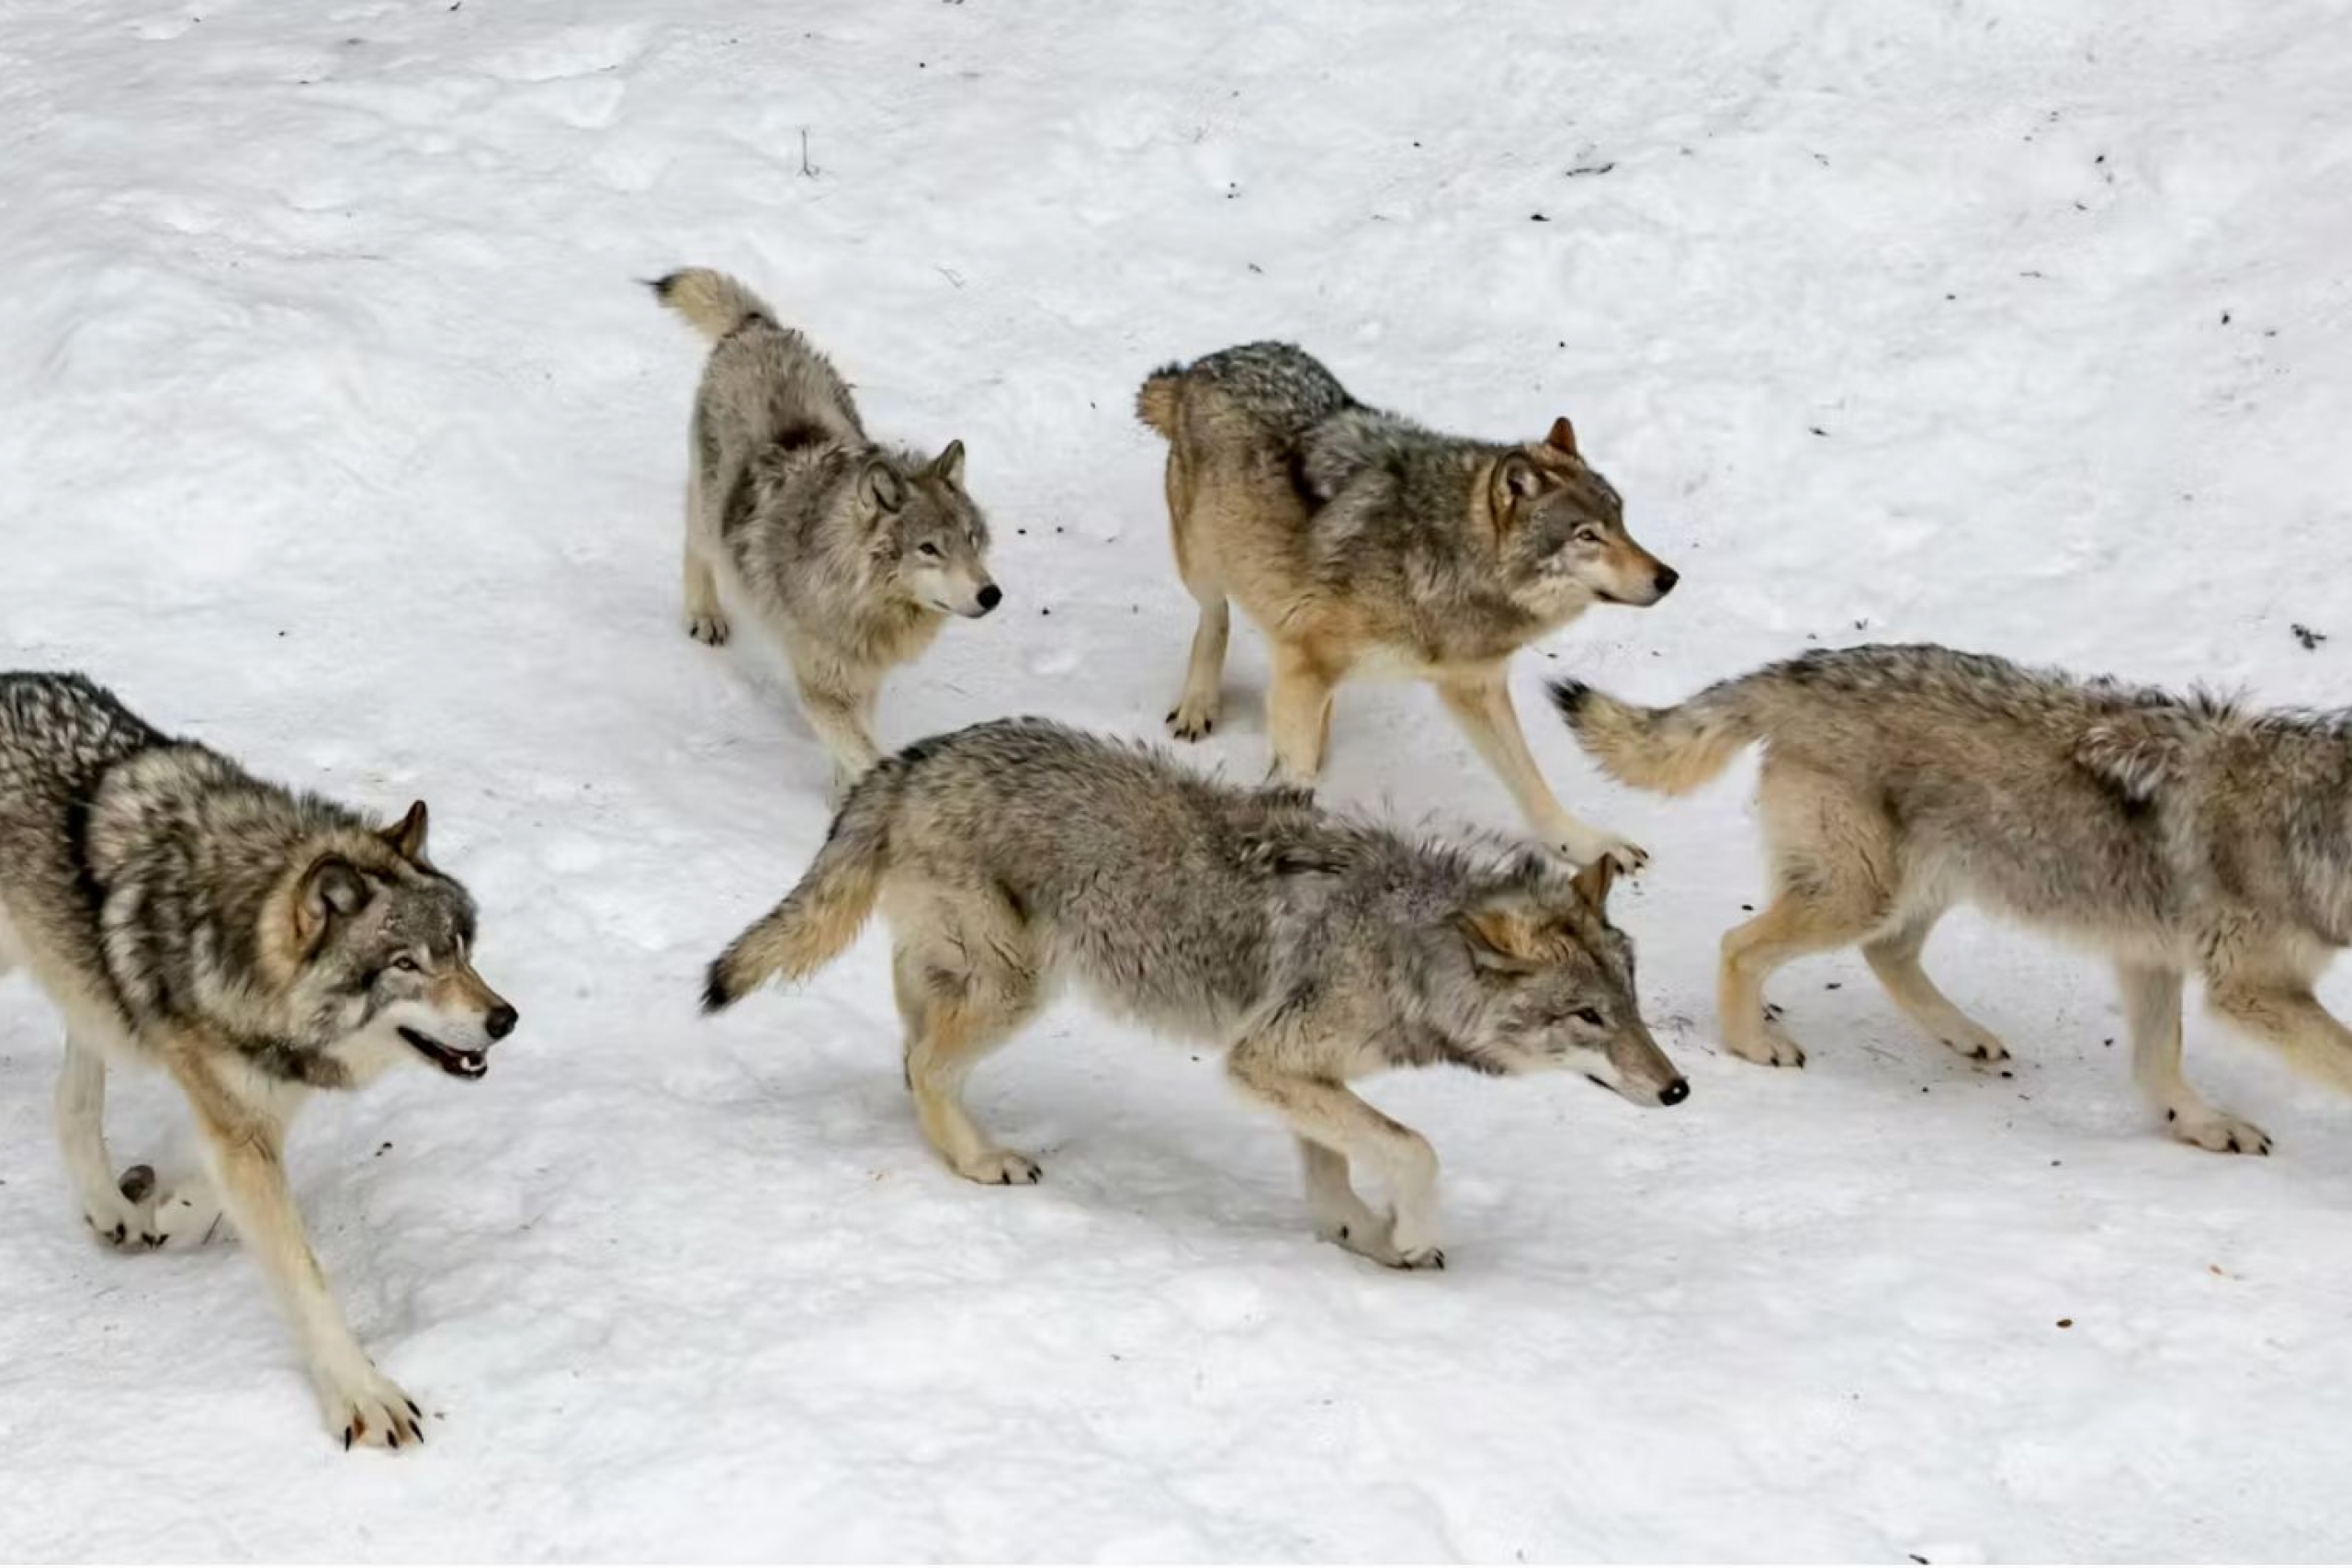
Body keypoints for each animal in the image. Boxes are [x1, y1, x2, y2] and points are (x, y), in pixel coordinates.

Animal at [0, 673, 517, 1449]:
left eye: (460, 948)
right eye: (405, 964)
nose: (504, 1019)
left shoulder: (256, 1098)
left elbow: (215, 1186)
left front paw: (172, 1212)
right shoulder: (238, 1114)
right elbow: (306, 1276)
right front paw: (362, 1395)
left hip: (79, 980)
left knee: (76, 1090)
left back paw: (109, 1205)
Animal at [653, 267, 1000, 795]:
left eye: (972, 540)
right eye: (929, 549)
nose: (991, 595)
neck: (858, 599)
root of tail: (759, 329)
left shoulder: (864, 679)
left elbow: (854, 746)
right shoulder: (823, 688)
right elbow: (863, 750)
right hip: (710, 510)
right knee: (695, 545)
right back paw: (705, 616)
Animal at [702, 717, 1687, 1268]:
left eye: (1635, 1006)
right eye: (1589, 1016)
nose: (1678, 1088)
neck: (1406, 944)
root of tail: (913, 757)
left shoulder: (1296, 1073)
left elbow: (1337, 1169)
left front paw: (1363, 1238)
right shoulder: (1264, 1061)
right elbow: (1416, 1150)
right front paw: (1404, 1234)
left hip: (973, 977)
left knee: (909, 1054)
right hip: (1018, 987)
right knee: (924, 1065)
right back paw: (983, 1161)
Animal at [1135, 341, 1676, 872]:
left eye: (1621, 522)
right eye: (1587, 536)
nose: (1668, 578)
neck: (1440, 559)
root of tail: (1203, 365)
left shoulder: (1474, 686)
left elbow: (1532, 784)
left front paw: (1589, 846)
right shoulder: (1307, 661)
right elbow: (1296, 768)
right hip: (1203, 563)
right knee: (1216, 618)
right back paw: (1198, 706)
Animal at [1551, 642, 2352, 1155]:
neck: (2317, 830)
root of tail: (1803, 669)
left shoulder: (2149, 955)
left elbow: (2160, 1065)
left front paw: (2202, 1125)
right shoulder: (2251, 989)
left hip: (1922, 886)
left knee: (1887, 953)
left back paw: (1964, 1034)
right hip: (1863, 892)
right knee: (1740, 945)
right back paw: (1756, 1044)